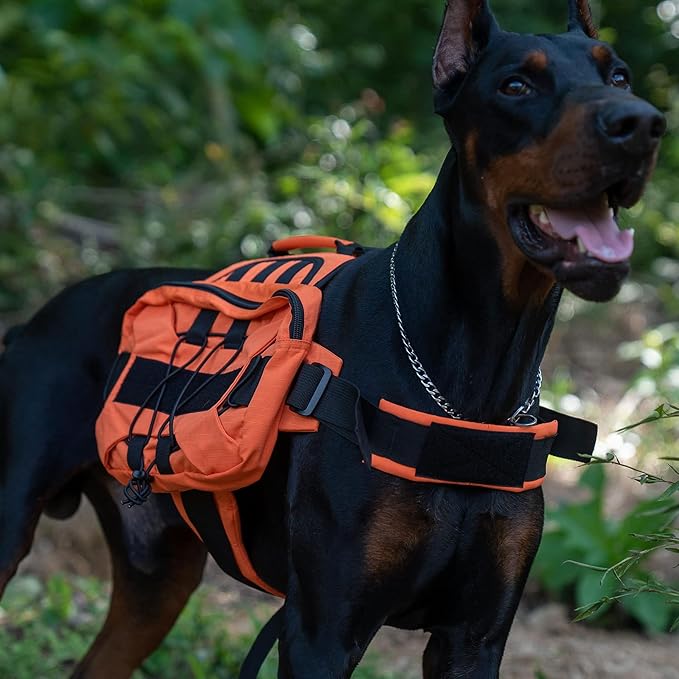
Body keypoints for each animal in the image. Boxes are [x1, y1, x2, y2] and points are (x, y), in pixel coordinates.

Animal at [0, 2, 664, 676]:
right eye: (516, 86)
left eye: (619, 76)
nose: (641, 124)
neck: (470, 381)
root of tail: (30, 323)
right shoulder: (322, 630)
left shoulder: (474, 639)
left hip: (157, 575)